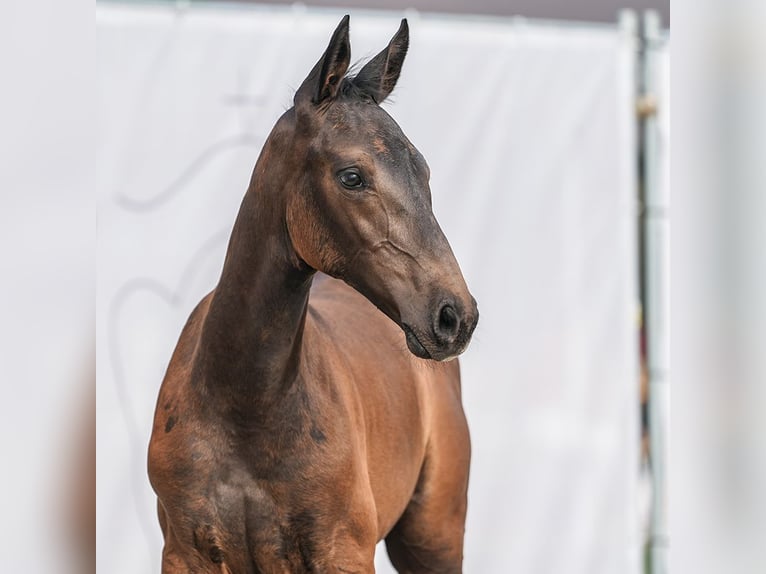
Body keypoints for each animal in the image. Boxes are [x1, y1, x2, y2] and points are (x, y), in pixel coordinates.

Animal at [147, 15, 476, 572]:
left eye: (425, 172)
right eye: (352, 176)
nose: (456, 316)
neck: (245, 406)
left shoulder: (343, 551)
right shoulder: (185, 555)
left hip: (434, 535)